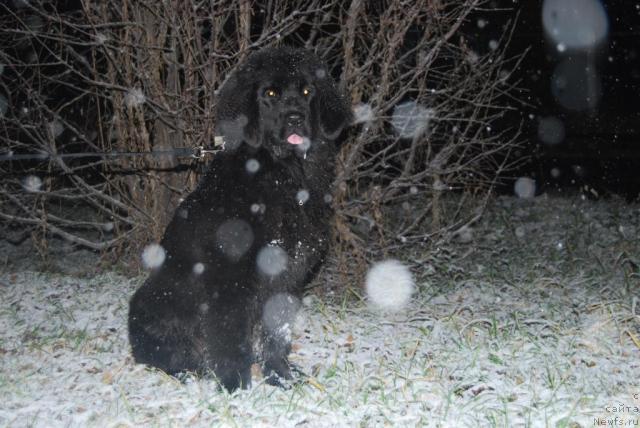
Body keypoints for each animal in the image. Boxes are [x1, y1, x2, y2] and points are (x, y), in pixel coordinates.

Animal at [127, 46, 352, 392]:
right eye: (270, 93)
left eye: (306, 91)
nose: (295, 118)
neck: (282, 174)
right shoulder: (230, 278)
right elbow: (229, 334)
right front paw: (235, 384)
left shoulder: (286, 275)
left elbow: (276, 332)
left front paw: (280, 376)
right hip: (156, 298)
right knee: (163, 353)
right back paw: (188, 371)